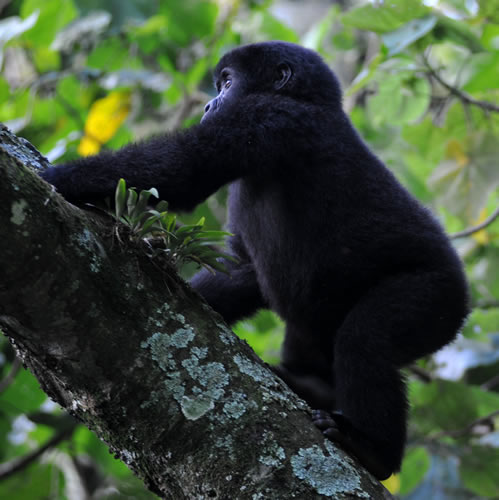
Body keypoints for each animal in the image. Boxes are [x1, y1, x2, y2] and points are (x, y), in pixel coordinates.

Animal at [41, 42, 470, 480]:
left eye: (228, 83)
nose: (209, 104)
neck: (309, 101)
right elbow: (242, 270)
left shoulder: (267, 116)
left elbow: (184, 167)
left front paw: (60, 178)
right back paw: (310, 386)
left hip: (438, 295)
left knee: (366, 339)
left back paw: (373, 450)